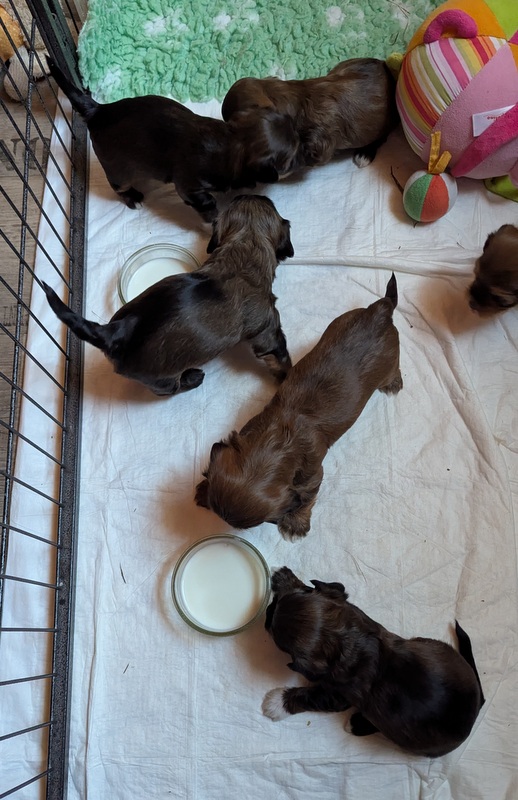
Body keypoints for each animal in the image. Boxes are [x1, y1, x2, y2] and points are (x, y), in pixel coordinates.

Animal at [42, 195, 294, 396]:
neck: (242, 250)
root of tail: (114, 332)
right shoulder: (267, 331)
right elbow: (280, 357)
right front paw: (287, 375)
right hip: (161, 379)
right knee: (168, 389)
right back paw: (192, 378)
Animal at [47, 58, 298, 222]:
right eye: (290, 160)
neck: (231, 142)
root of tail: (99, 110)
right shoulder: (188, 186)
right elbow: (204, 203)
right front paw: (212, 215)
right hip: (118, 170)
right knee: (118, 187)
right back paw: (133, 198)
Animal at [195, 274, 402, 539]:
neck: (275, 441)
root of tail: (380, 311)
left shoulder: (313, 477)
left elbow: (306, 500)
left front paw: (296, 524)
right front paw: (205, 488)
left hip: (390, 360)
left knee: (394, 369)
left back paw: (394, 384)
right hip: (340, 321)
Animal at [262, 567, 485, 758]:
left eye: (278, 642)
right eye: (307, 590)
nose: (267, 612)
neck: (346, 641)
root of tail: (477, 708)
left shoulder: (338, 696)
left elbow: (310, 696)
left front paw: (276, 703)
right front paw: (282, 576)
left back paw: (356, 724)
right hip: (432, 644)